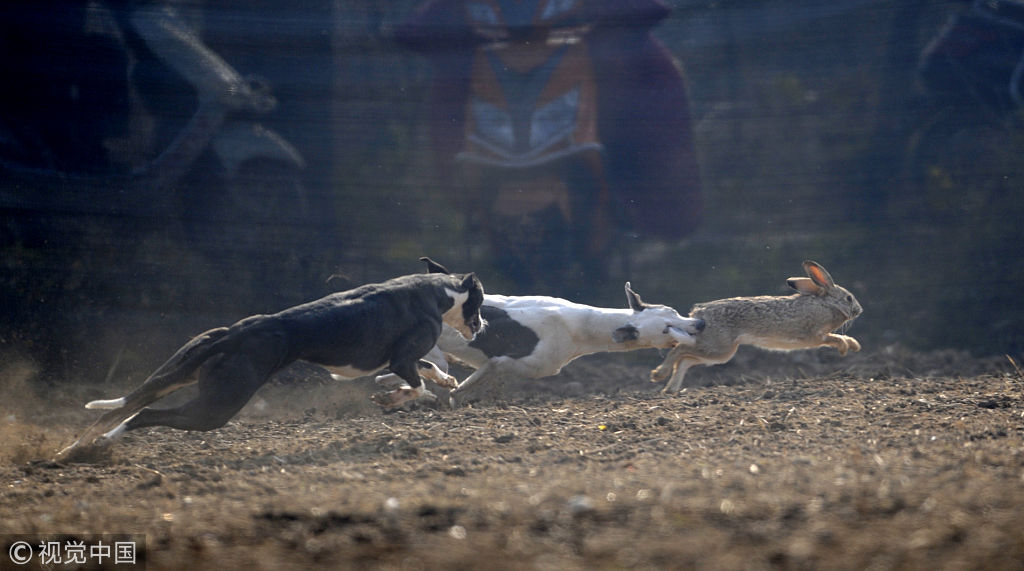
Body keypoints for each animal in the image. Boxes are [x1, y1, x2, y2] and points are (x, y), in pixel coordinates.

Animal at [54, 261, 485, 462]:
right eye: (480, 303)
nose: (481, 326)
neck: (436, 291)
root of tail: (235, 334)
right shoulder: (399, 359)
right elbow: (416, 385)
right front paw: (394, 398)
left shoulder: (399, 360)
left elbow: (428, 372)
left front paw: (445, 382)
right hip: (216, 406)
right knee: (141, 415)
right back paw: (105, 443)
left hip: (180, 376)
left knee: (119, 409)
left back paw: (72, 450)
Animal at [376, 259, 704, 407]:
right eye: (667, 329)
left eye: (674, 312)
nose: (699, 324)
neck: (578, 324)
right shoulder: (502, 363)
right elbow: (460, 388)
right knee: (427, 368)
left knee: (401, 373)